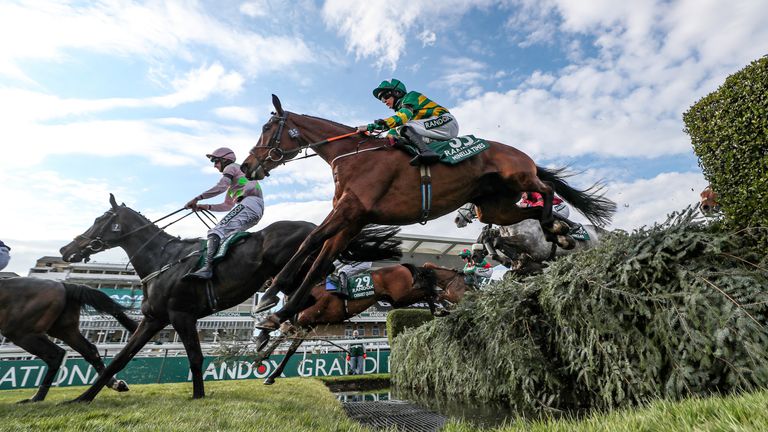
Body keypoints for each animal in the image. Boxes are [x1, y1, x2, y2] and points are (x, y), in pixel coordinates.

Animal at [0, 278, 136, 404]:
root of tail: (64, 285)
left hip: (20, 332)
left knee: (55, 355)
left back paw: (37, 398)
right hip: (63, 329)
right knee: (89, 352)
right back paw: (115, 384)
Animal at [57, 194, 400, 404]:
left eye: (100, 219)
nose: (65, 249)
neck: (163, 261)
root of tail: (315, 226)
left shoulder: (181, 315)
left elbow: (196, 358)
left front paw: (198, 396)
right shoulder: (155, 319)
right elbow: (121, 357)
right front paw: (85, 396)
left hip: (296, 265)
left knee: (305, 289)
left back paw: (272, 322)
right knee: (301, 301)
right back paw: (271, 328)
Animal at [240, 95, 616, 330]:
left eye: (266, 130)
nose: (247, 165)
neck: (352, 156)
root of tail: (521, 154)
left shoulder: (350, 209)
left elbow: (310, 243)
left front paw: (270, 296)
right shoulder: (351, 220)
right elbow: (319, 259)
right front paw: (282, 312)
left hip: (520, 177)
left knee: (547, 192)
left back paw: (560, 231)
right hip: (495, 207)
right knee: (532, 211)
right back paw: (558, 234)